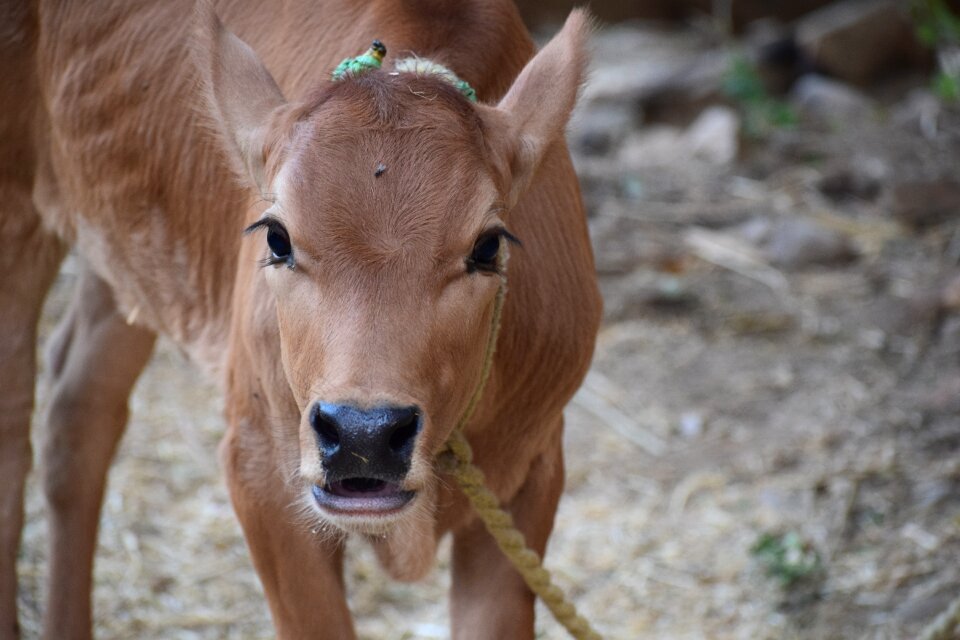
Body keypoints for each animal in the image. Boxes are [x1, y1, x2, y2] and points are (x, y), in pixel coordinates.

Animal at [0, 2, 600, 636]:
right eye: (277, 237)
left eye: (488, 246)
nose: (364, 435)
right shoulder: (260, 465)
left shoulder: (532, 469)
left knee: (80, 405)